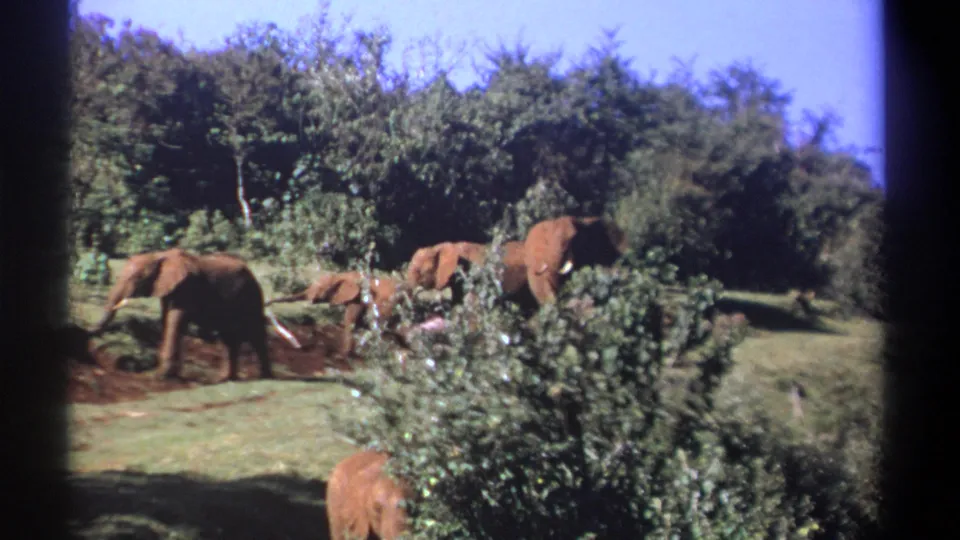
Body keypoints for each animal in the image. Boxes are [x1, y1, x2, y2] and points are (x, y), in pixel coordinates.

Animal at [88, 248, 297, 382]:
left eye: (137, 278)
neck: (159, 255)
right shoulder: (169, 289)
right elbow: (167, 320)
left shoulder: (187, 287)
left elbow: (176, 320)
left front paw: (161, 377)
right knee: (228, 337)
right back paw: (226, 378)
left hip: (251, 295)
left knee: (254, 332)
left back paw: (265, 377)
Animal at [265, 271, 409, 358]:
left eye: (320, 288)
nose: (266, 303)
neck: (341, 275)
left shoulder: (357, 297)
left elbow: (349, 319)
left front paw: (340, 355)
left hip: (386, 305)